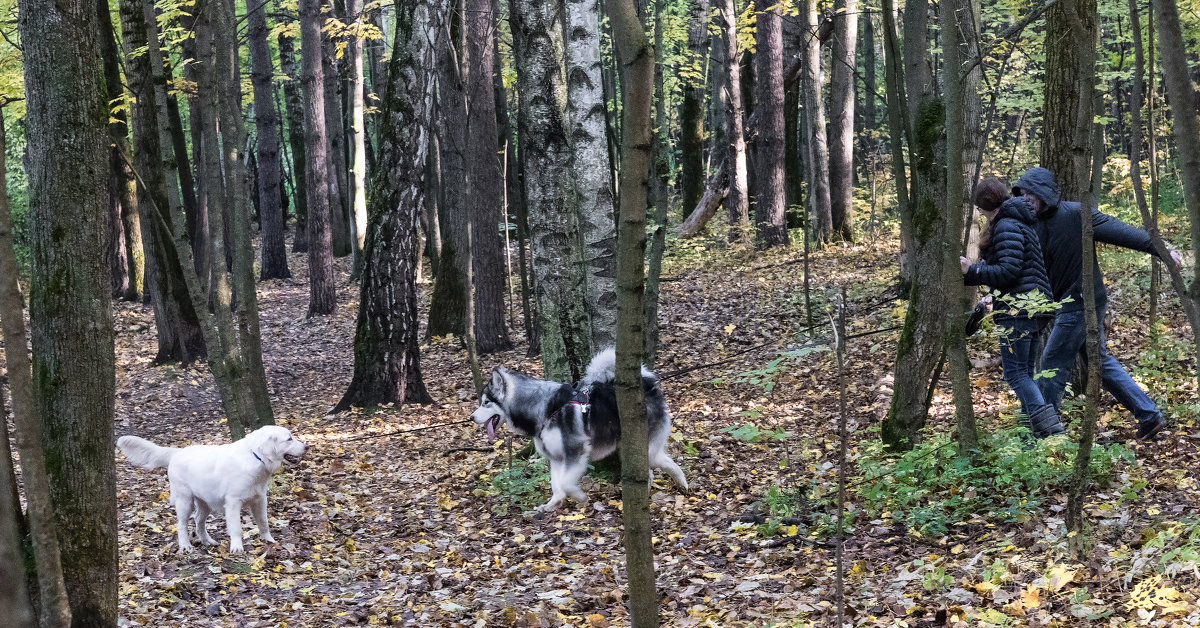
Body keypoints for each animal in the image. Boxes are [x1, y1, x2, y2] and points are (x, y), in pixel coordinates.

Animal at [117, 425, 307, 552]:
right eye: (289, 439)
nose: (307, 446)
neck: (256, 457)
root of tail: (177, 452)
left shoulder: (260, 499)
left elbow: (263, 522)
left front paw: (269, 540)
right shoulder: (233, 502)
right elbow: (236, 528)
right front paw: (237, 548)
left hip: (205, 502)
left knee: (198, 522)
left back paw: (207, 541)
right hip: (185, 501)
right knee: (181, 525)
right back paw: (185, 546)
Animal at [472, 348, 691, 511]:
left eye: (485, 403)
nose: (471, 417)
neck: (546, 408)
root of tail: (648, 386)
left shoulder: (575, 451)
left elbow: (566, 483)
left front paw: (579, 496)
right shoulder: (556, 457)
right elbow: (556, 484)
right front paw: (553, 503)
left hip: (644, 447)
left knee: (659, 463)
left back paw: (677, 484)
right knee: (658, 465)